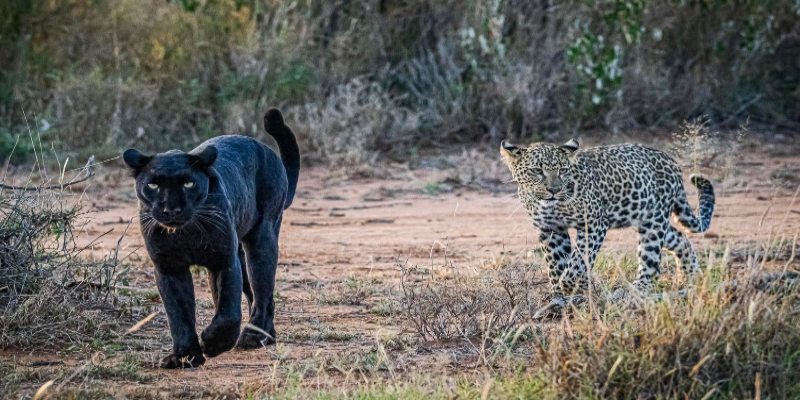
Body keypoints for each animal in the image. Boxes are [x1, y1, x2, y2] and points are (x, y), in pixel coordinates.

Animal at [122, 108, 299, 368]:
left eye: (189, 183)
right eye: (153, 185)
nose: (171, 209)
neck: (186, 233)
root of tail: (265, 149)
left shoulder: (223, 261)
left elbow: (228, 310)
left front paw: (213, 344)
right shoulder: (169, 268)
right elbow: (179, 313)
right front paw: (185, 356)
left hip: (261, 241)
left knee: (263, 294)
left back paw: (254, 336)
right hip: (241, 254)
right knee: (256, 295)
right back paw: (266, 336)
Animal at [500, 138, 714, 311]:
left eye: (562, 170)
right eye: (537, 171)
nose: (554, 190)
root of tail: (672, 162)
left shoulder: (593, 224)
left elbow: (577, 262)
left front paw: (571, 287)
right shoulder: (551, 229)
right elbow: (556, 264)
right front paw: (560, 296)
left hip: (654, 223)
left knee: (651, 264)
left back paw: (635, 291)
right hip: (646, 218)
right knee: (680, 237)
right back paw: (692, 275)